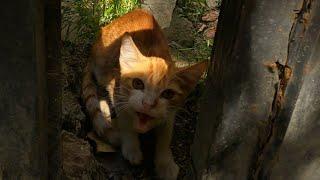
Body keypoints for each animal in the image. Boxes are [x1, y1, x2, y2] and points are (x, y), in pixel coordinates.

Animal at [82, 9, 208, 179]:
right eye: (137, 83)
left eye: (168, 94)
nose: (148, 104)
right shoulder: (117, 91)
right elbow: (125, 121)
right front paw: (131, 147)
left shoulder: (170, 112)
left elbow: (165, 135)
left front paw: (164, 162)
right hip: (103, 70)